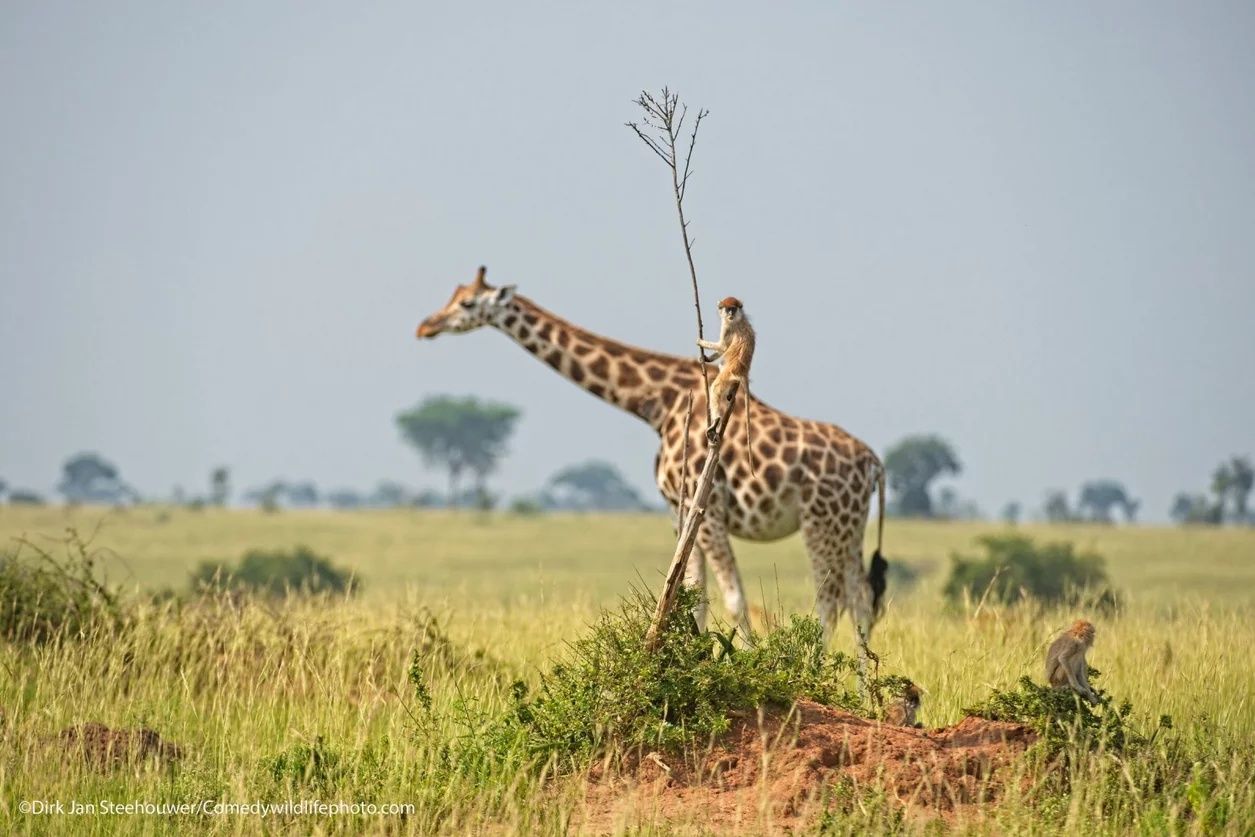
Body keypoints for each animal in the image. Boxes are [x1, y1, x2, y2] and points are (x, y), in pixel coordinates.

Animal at [697, 299, 753, 471]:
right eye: (728, 309)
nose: (730, 314)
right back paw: (731, 392)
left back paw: (715, 421)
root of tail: (742, 371)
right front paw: (706, 359)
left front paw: (700, 342)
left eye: (733, 308)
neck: (739, 319)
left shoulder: (728, 328)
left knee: (715, 387)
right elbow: (723, 349)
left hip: (727, 374)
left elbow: (722, 347)